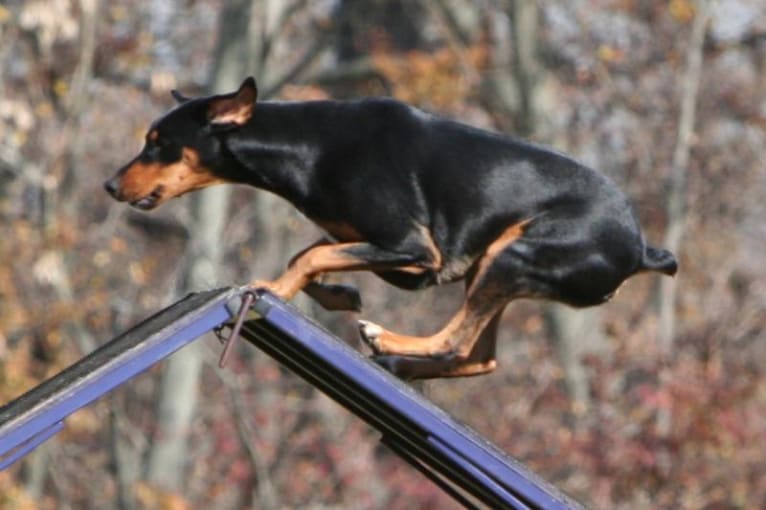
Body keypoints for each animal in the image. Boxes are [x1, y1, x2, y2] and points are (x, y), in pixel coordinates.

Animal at [103, 77, 680, 380]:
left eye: (158, 143)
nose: (109, 185)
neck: (307, 145)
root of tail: (640, 248)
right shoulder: (385, 250)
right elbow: (314, 251)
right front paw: (337, 294)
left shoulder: (416, 251)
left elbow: (309, 256)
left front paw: (278, 288)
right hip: (498, 265)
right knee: (481, 356)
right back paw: (399, 363)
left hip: (515, 254)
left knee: (458, 344)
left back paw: (386, 339)